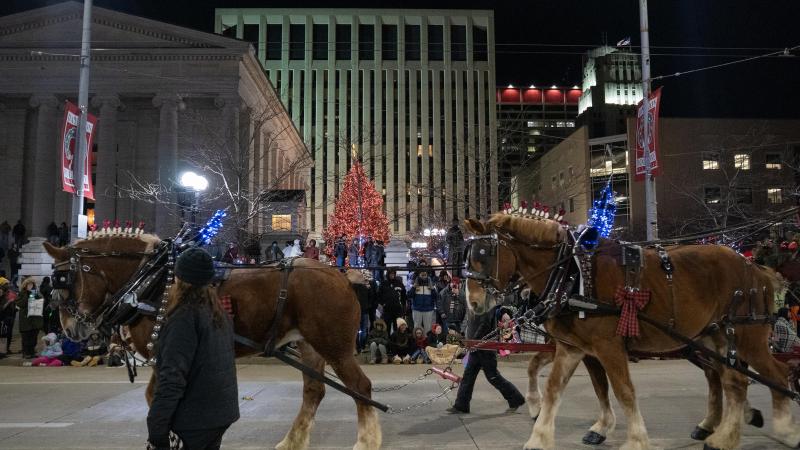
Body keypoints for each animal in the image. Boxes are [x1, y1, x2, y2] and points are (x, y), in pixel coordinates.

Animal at [43, 236, 382, 450]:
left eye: (64, 281)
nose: (70, 329)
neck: (153, 281)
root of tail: (342, 276)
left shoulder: (168, 352)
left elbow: (158, 399)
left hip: (334, 345)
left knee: (360, 388)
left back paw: (365, 442)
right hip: (309, 344)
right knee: (314, 392)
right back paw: (292, 441)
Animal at [462, 214, 792, 450]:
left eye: (484, 254)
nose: (473, 303)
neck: (571, 273)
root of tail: (754, 267)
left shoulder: (607, 346)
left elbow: (623, 390)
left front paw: (636, 440)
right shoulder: (573, 348)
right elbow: (557, 387)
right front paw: (539, 436)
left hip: (747, 336)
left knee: (775, 374)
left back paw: (784, 429)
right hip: (715, 338)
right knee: (732, 381)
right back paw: (723, 435)